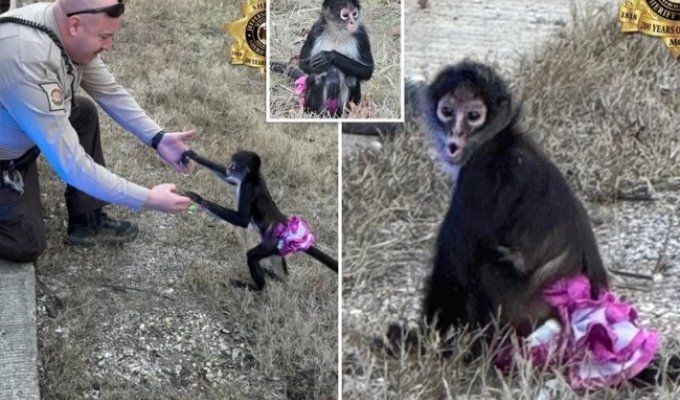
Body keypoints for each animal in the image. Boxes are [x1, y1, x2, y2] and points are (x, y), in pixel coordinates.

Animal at [182, 150, 338, 290]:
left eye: (234, 164)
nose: (228, 166)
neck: (253, 178)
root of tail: (289, 228)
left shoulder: (247, 187)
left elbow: (242, 220)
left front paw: (199, 199)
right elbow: (227, 178)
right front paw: (193, 155)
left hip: (272, 242)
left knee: (252, 256)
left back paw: (257, 288)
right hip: (277, 246)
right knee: (276, 262)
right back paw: (278, 279)